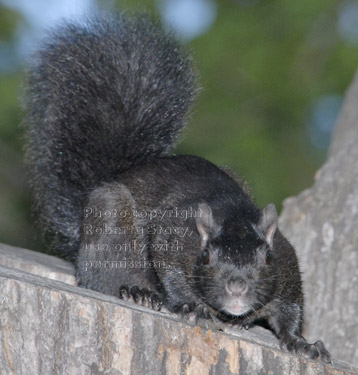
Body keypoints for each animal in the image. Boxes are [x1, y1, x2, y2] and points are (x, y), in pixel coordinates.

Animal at [24, 13, 330, 362]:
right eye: (206, 256)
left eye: (266, 258)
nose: (237, 286)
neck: (234, 214)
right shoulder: (172, 238)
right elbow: (171, 274)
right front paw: (190, 306)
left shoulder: (287, 266)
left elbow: (291, 312)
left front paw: (303, 344)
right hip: (109, 222)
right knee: (101, 276)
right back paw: (139, 291)